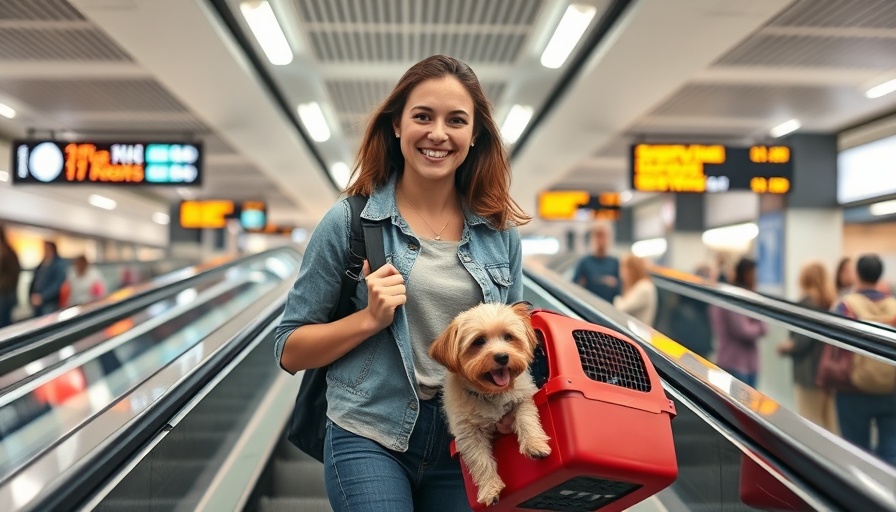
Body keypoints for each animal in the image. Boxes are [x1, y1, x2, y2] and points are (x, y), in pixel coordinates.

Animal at [428, 302, 548, 506]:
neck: (491, 394)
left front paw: (535, 444)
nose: (502, 357)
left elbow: (527, 420)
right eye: (478, 341)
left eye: (508, 336)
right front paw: (490, 488)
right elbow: (480, 460)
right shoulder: (468, 433)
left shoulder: (522, 398)